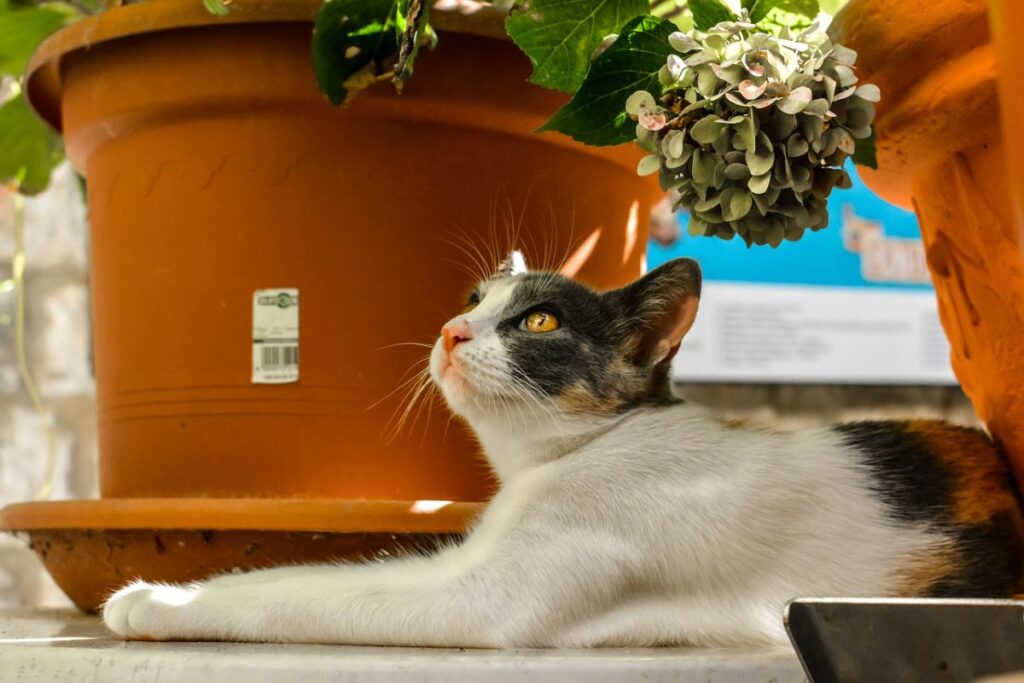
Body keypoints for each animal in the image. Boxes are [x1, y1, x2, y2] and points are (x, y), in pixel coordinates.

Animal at [103, 254, 1024, 647]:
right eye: (473, 298)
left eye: (539, 320)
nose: (451, 328)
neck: (570, 457)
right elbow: (294, 571)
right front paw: (161, 589)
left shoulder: (482, 599)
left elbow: (300, 596)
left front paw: (160, 604)